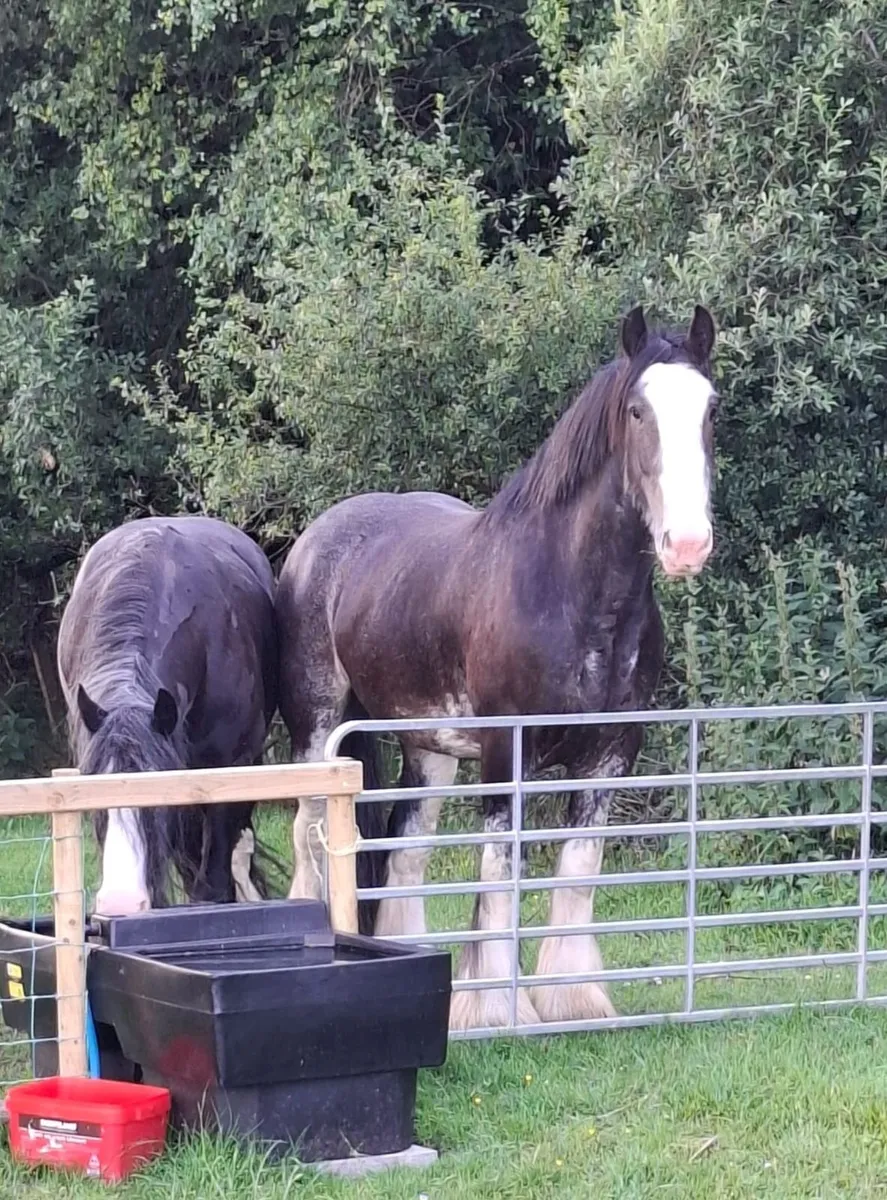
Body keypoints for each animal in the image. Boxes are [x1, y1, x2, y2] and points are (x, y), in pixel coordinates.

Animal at [275, 304, 718, 1030]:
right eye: (636, 412)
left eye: (710, 409)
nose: (686, 544)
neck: (572, 596)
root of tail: (317, 540)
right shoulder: (505, 754)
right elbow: (500, 869)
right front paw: (490, 1008)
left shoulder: (611, 754)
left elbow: (577, 868)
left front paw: (572, 996)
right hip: (317, 733)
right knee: (309, 833)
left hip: (428, 750)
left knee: (407, 849)